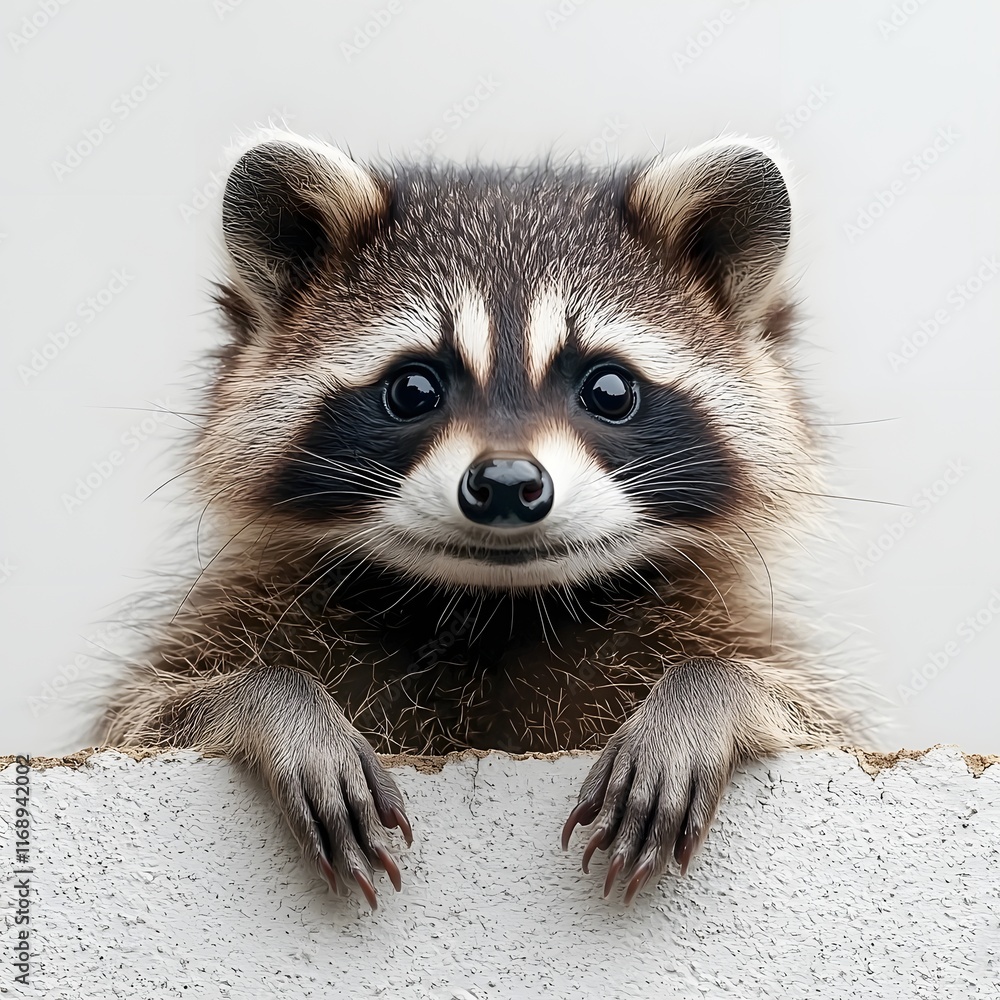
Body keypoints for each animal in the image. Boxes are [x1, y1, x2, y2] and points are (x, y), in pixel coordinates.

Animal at [99, 130, 855, 908]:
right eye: (413, 388)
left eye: (609, 389)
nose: (506, 484)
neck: (494, 607)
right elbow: (142, 720)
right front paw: (270, 701)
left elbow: (811, 717)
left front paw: (708, 695)